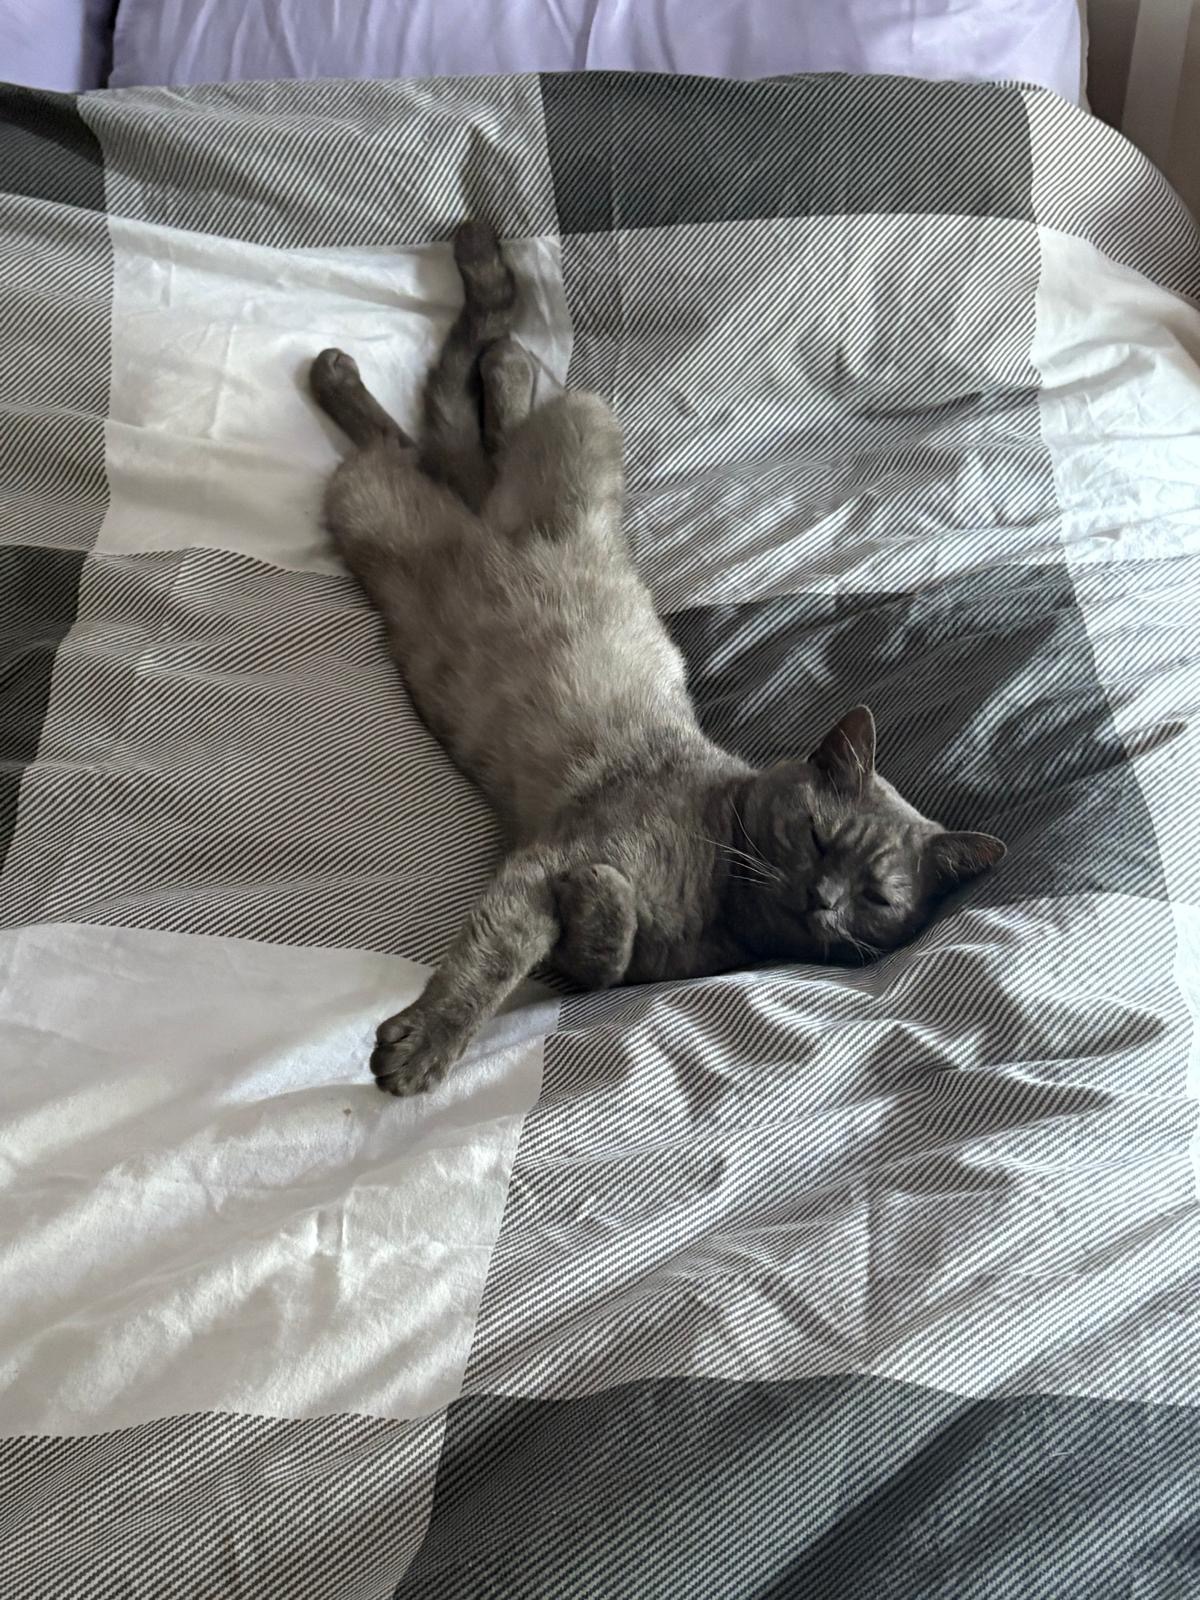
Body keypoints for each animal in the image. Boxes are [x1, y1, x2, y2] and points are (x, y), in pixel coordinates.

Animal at [310, 220, 1006, 1097]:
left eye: (876, 896)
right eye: (816, 836)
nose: (822, 899)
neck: (716, 901)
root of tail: (489, 528)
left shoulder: (595, 953)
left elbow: (605, 956)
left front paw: (604, 904)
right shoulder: (542, 865)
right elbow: (493, 962)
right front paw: (425, 1046)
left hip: (421, 501)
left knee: (439, 437)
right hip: (457, 478)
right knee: (450, 420)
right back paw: (425, 333)